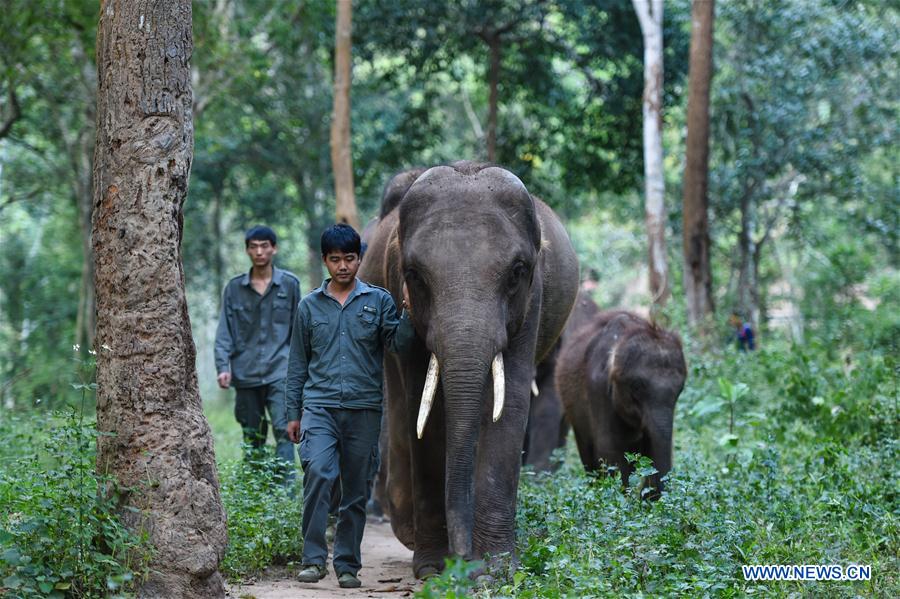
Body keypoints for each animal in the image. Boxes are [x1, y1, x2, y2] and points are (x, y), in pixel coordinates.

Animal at [359, 161, 579, 577]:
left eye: (517, 271)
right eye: (414, 275)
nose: (462, 559)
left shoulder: (532, 300)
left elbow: (508, 407)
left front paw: (495, 569)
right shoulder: (401, 299)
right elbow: (424, 411)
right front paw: (433, 568)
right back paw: (407, 531)